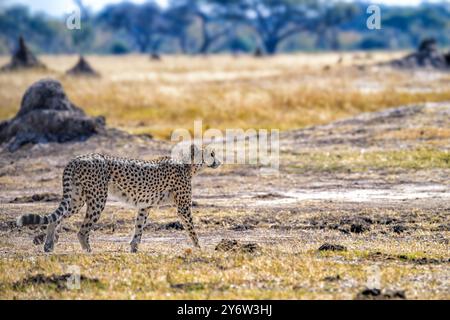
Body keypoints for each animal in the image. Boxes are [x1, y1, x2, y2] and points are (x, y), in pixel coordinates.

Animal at [16, 144, 221, 252]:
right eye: (211, 153)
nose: (218, 161)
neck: (188, 164)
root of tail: (77, 158)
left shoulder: (144, 206)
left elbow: (139, 227)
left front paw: (134, 248)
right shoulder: (183, 207)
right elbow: (191, 228)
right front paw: (199, 247)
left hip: (76, 198)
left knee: (56, 217)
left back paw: (49, 245)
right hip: (98, 198)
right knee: (82, 230)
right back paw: (88, 251)